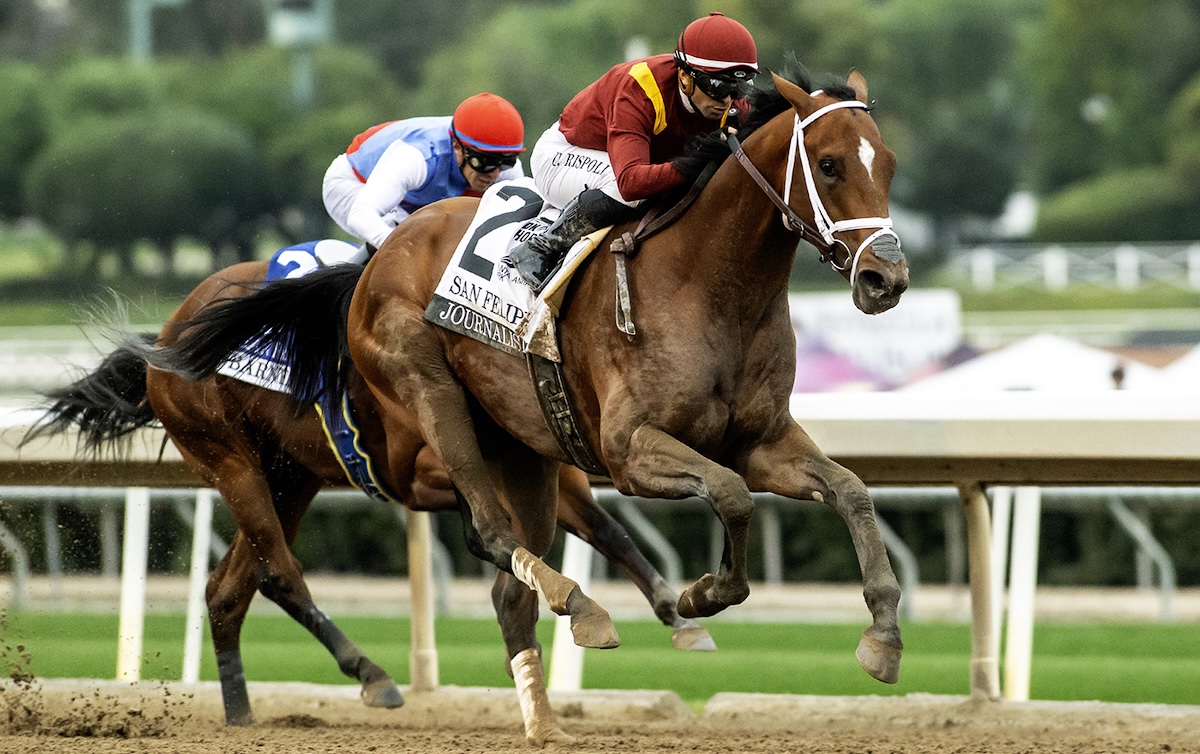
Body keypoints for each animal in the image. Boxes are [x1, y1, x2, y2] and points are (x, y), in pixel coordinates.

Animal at [25, 260, 710, 729]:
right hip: (229, 459)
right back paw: (371, 675)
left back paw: (242, 714)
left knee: (228, 590)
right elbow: (494, 525)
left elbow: (606, 528)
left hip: (290, 476)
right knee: (278, 573)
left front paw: (677, 614)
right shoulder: (424, 467)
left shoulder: (544, 469)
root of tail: (168, 333)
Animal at [138, 72, 907, 749]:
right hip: (330, 429)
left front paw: (882, 636)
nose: (886, 278)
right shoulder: (629, 449)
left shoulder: (761, 441)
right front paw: (701, 596)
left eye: (890, 165)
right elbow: (731, 495)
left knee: (249, 587)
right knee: (457, 538)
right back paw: (533, 621)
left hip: (397, 461)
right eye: (830, 164)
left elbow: (850, 491)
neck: (709, 285)